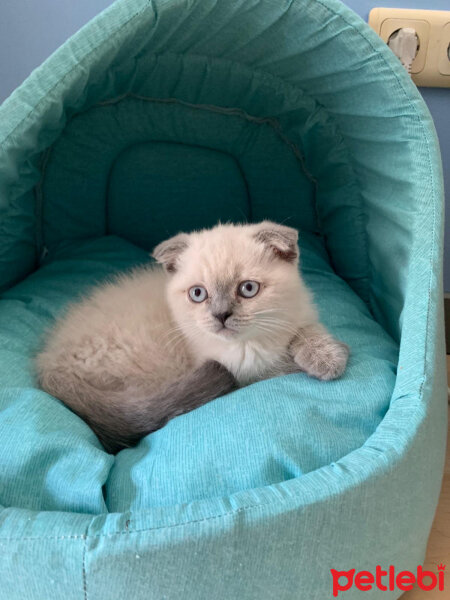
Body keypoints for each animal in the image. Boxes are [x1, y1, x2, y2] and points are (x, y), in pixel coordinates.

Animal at [37, 223, 350, 452]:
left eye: (248, 288)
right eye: (198, 294)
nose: (221, 315)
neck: (255, 341)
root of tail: (49, 364)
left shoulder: (299, 315)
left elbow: (306, 330)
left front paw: (327, 355)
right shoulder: (239, 371)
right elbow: (277, 370)